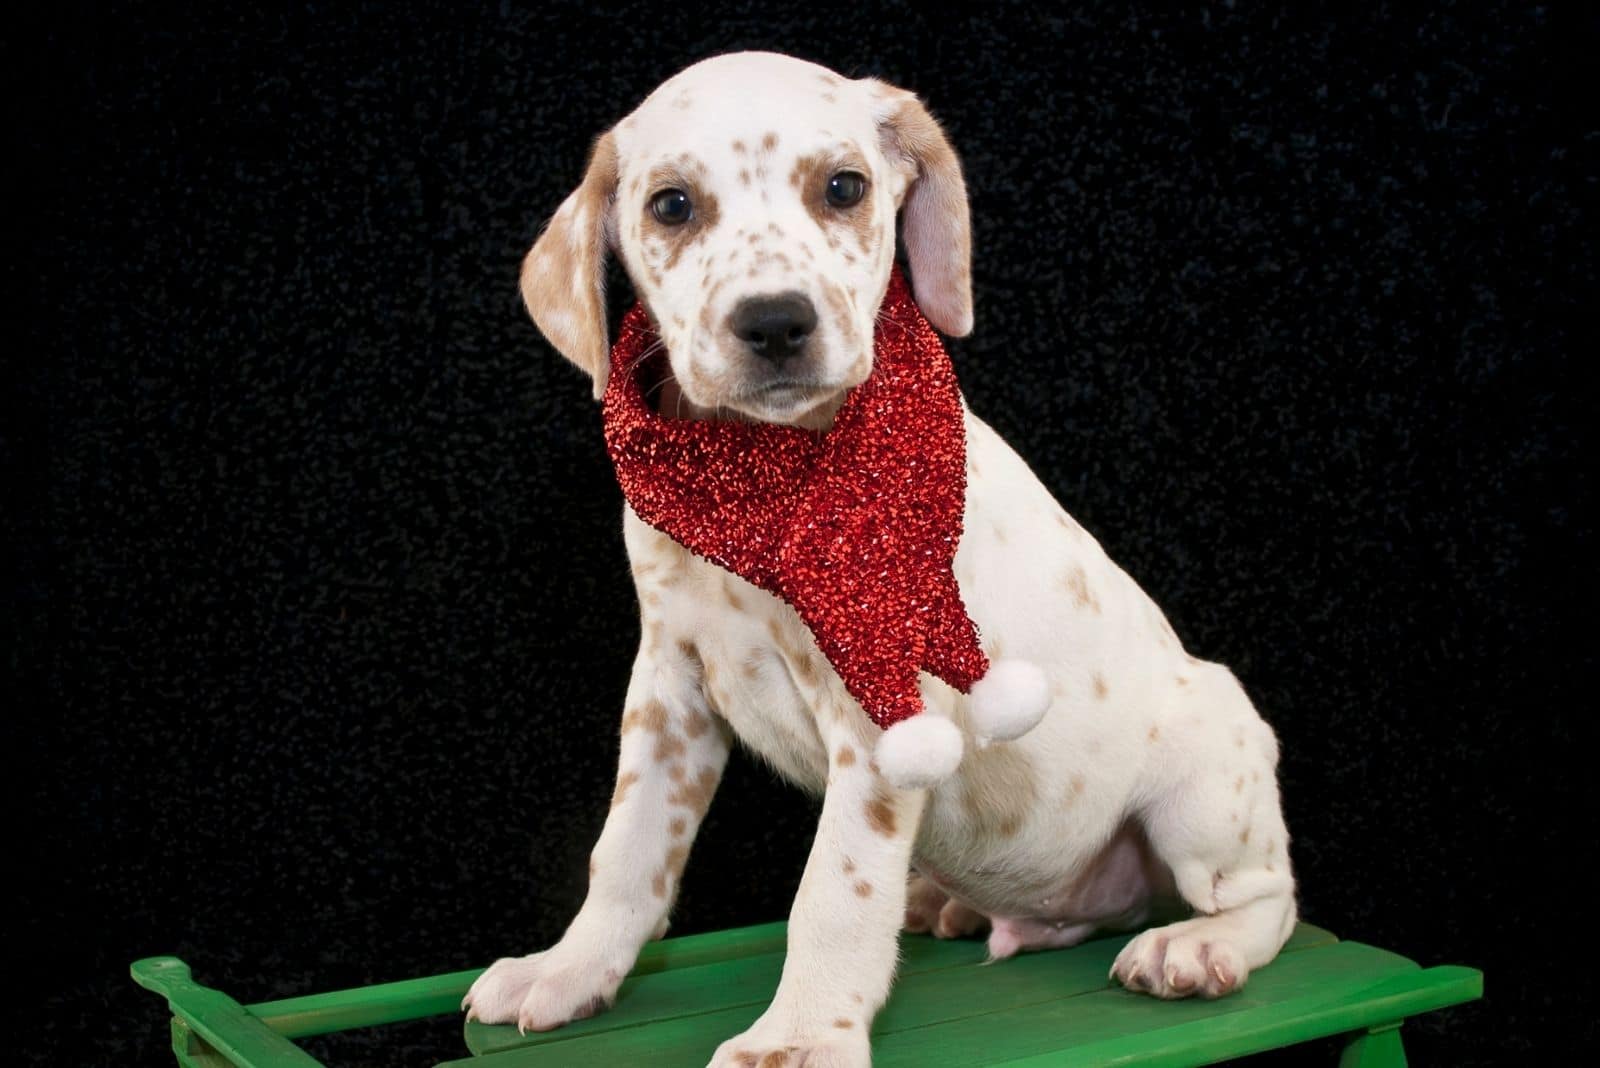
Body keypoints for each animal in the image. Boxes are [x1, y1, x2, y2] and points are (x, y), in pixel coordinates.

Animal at [464, 49, 1299, 1068]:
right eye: (671, 205)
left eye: (844, 188)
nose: (775, 322)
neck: (759, 481)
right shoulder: (669, 687)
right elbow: (628, 850)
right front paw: (571, 969)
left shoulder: (879, 708)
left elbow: (835, 888)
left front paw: (799, 1036)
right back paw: (955, 905)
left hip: (1204, 797)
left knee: (1269, 901)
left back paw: (1195, 947)